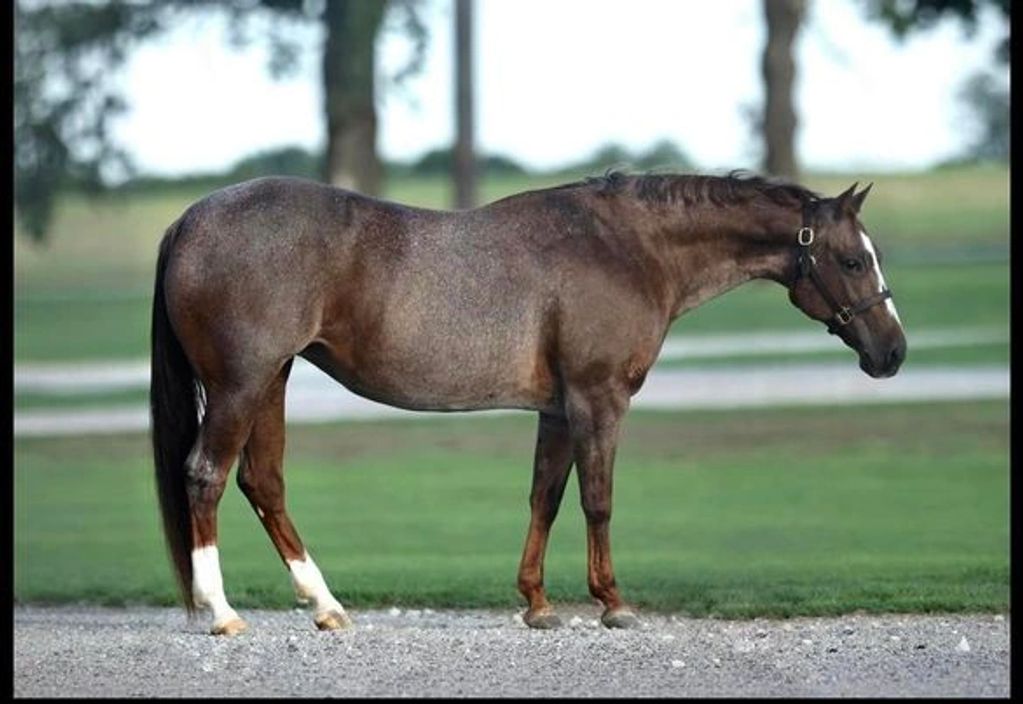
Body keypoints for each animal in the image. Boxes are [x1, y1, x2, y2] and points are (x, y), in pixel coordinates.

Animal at [150, 170, 906, 635]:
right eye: (852, 260)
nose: (892, 352)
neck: (625, 249)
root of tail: (191, 218)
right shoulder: (599, 399)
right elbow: (597, 500)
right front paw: (612, 603)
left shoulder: (557, 408)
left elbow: (545, 496)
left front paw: (538, 605)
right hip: (242, 384)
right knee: (206, 477)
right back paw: (222, 612)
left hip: (271, 380)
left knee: (264, 483)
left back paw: (326, 607)